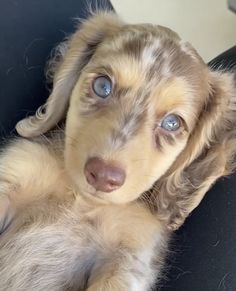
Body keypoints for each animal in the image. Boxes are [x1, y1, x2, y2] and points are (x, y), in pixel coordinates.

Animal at [0, 10, 236, 290]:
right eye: (102, 86)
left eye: (172, 123)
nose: (103, 177)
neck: (82, 201)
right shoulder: (16, 172)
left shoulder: (131, 259)